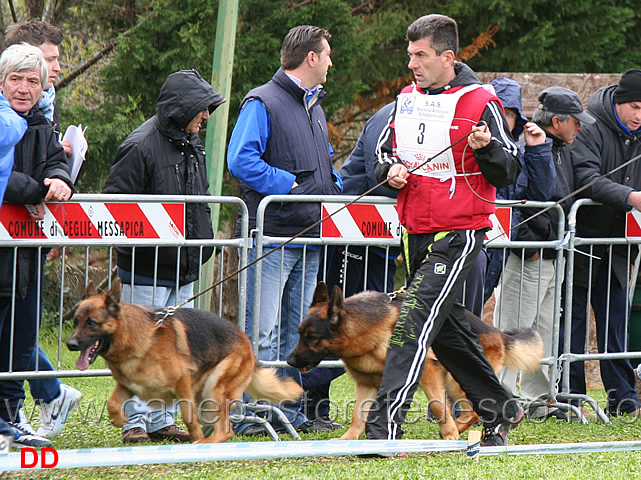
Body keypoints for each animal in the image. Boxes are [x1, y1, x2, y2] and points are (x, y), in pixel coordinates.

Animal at [67, 280, 302, 444]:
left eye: (91, 323)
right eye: (76, 322)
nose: (70, 344)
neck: (139, 338)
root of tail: (246, 342)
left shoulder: (182, 385)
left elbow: (188, 418)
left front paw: (196, 439)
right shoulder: (128, 385)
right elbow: (113, 404)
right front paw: (120, 420)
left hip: (214, 391)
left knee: (225, 430)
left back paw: (205, 443)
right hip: (206, 400)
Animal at [288, 282, 544, 442]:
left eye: (311, 337)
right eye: (300, 334)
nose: (289, 361)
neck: (368, 329)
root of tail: (498, 333)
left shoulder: (427, 371)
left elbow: (438, 407)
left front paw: (450, 433)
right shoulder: (366, 384)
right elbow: (358, 415)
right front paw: (349, 439)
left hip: (457, 381)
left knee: (476, 409)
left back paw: (461, 429)